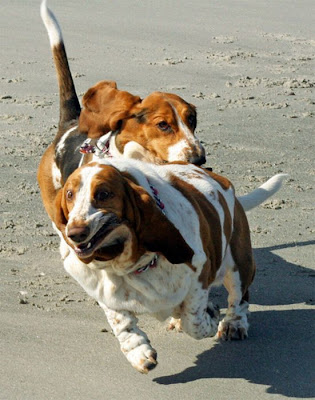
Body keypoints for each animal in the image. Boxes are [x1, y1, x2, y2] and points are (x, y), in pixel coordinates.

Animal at [54, 158, 286, 374]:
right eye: (69, 194)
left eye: (103, 194)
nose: (74, 233)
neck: (130, 265)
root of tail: (224, 183)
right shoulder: (106, 294)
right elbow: (123, 325)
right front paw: (139, 353)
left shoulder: (199, 276)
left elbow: (194, 321)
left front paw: (211, 318)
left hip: (239, 263)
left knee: (239, 297)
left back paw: (233, 324)